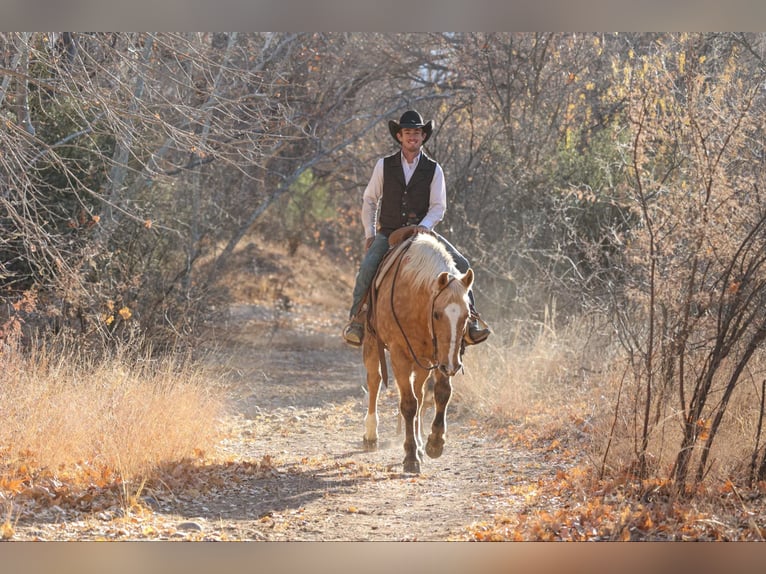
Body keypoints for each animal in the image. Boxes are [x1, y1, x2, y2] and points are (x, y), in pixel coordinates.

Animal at [362, 232, 474, 474]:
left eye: (467, 315)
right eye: (437, 314)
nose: (453, 366)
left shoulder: (438, 356)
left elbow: (441, 394)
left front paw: (434, 443)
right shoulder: (399, 355)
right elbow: (409, 404)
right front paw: (411, 456)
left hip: (423, 360)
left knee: (421, 394)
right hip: (372, 343)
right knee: (375, 381)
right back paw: (371, 435)